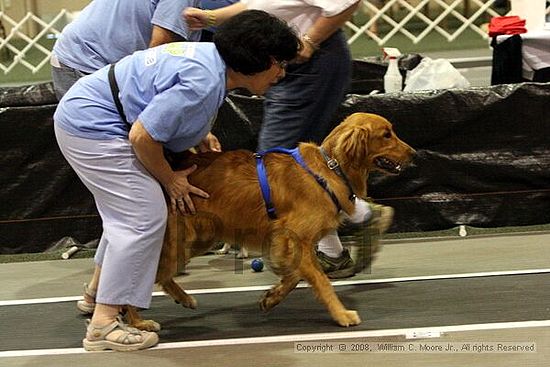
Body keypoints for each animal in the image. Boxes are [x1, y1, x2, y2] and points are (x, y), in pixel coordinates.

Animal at [127, 112, 416, 330]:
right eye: (386, 134)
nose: (414, 153)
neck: (329, 169)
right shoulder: (293, 240)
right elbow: (321, 281)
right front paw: (342, 314)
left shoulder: (286, 244)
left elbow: (294, 277)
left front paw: (271, 297)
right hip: (181, 240)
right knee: (137, 277)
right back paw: (138, 322)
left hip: (197, 240)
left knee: (160, 276)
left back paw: (183, 300)